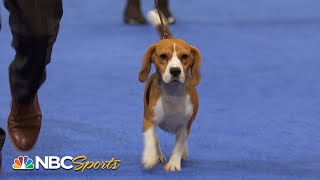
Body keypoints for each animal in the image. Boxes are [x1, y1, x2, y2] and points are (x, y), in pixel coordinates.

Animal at [139, 9, 201, 172]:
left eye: (184, 56)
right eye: (163, 56)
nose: (175, 71)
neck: (173, 92)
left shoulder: (185, 125)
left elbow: (179, 145)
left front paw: (173, 163)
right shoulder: (149, 120)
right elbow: (151, 138)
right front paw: (150, 157)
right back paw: (157, 155)